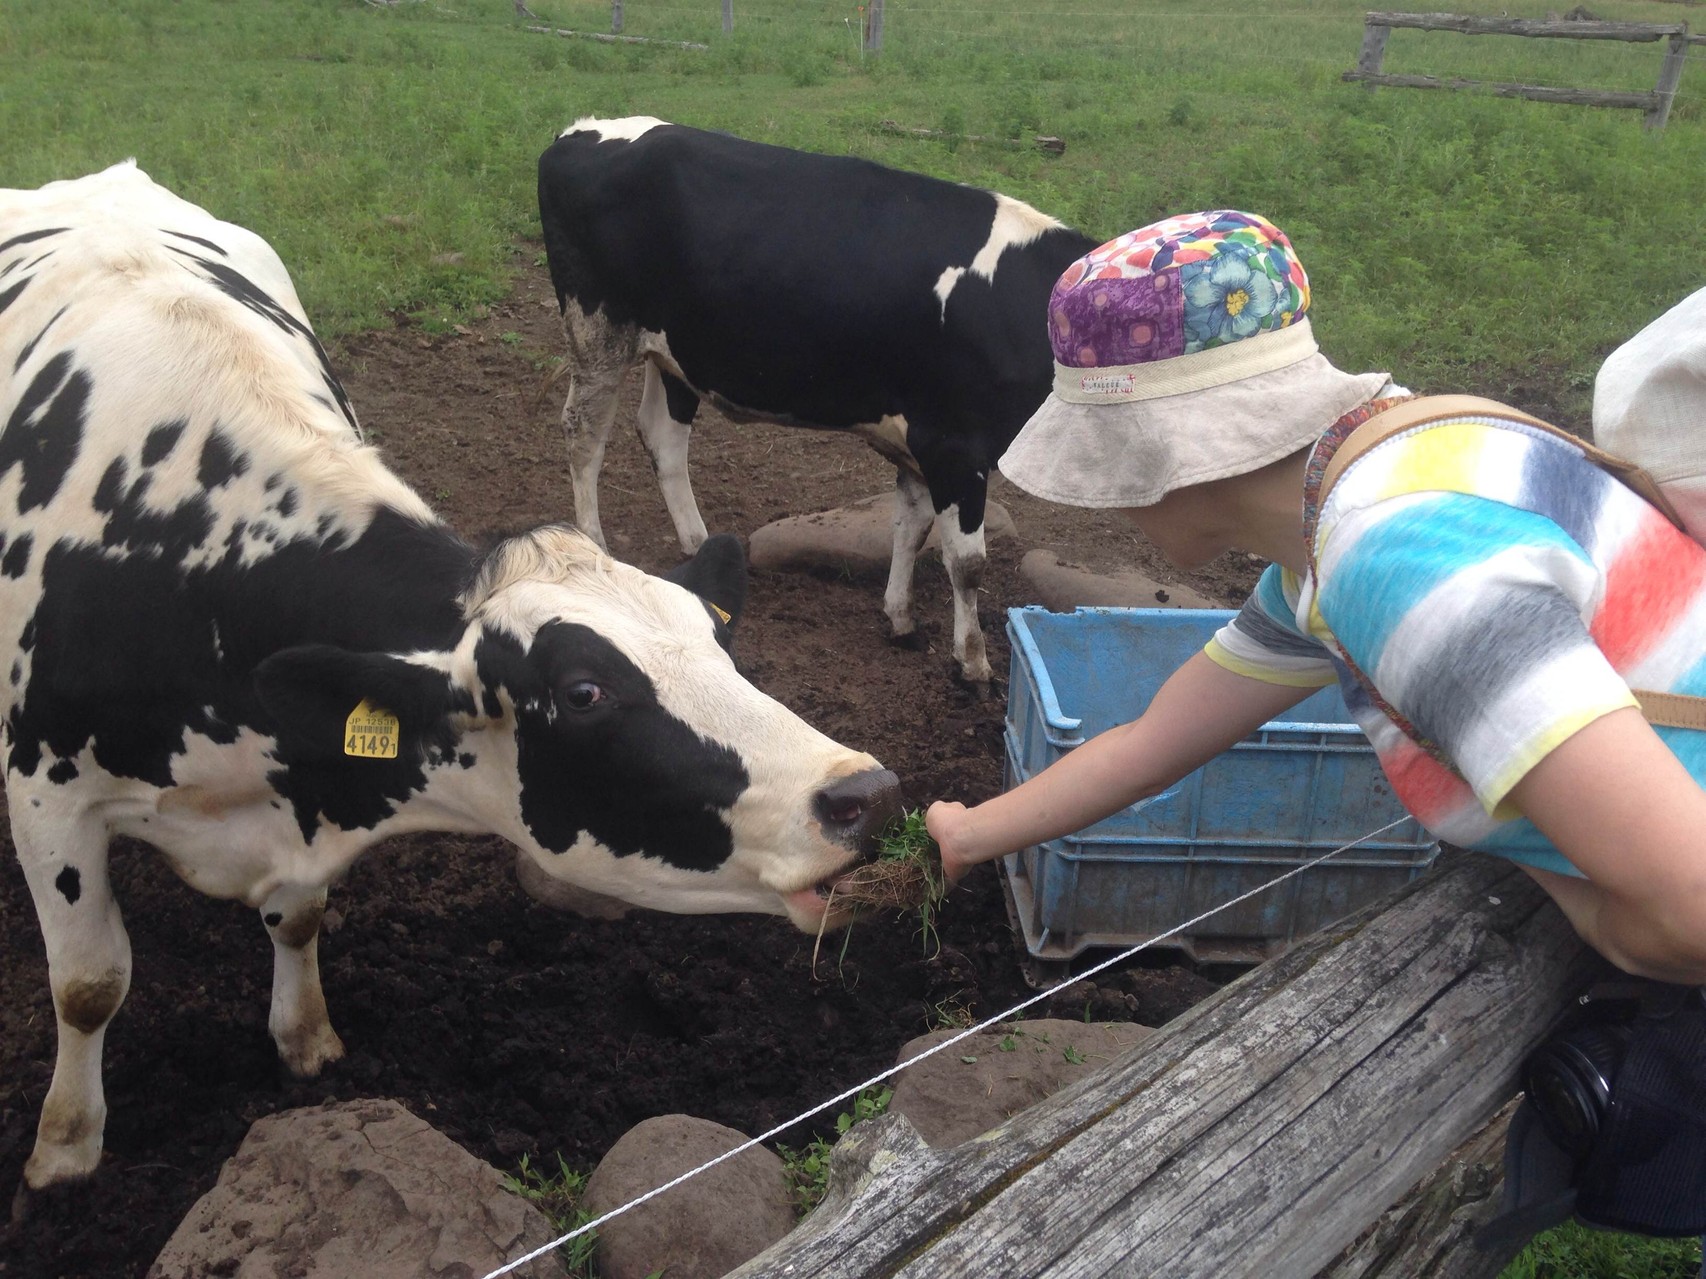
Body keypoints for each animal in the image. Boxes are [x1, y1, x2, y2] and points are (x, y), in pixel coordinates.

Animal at [0, 165, 900, 1200]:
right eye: (584, 692)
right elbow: (89, 984)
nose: (866, 792)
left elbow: (300, 917)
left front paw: (305, 1038)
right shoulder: (47, 794)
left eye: (717, 639)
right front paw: (65, 1150)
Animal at [535, 115, 1091, 685]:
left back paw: (697, 543)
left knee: (662, 437)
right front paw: (972, 662)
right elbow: (966, 562)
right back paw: (596, 545)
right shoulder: (954, 444)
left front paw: (900, 618)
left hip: (673, 352)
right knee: (584, 436)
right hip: (597, 333)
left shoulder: (922, 442)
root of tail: (582, 130)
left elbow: (911, 530)